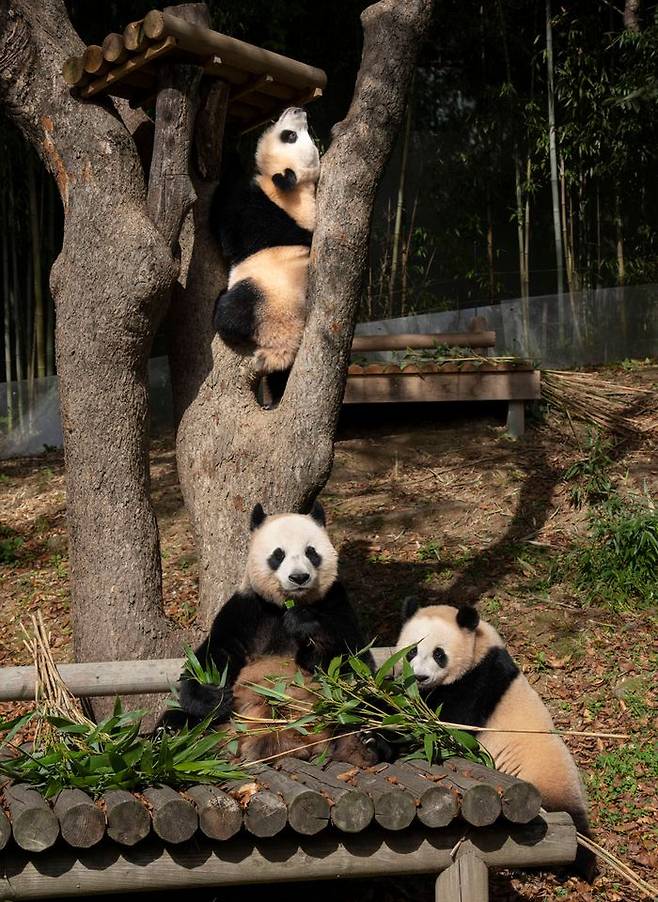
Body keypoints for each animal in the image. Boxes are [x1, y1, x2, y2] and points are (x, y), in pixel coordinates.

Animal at [211, 107, 320, 400]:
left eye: (289, 136)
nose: (299, 110)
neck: (297, 189)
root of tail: (282, 347)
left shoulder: (265, 212)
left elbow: (228, 233)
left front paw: (228, 155)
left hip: (263, 298)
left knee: (232, 315)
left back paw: (220, 307)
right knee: (280, 378)